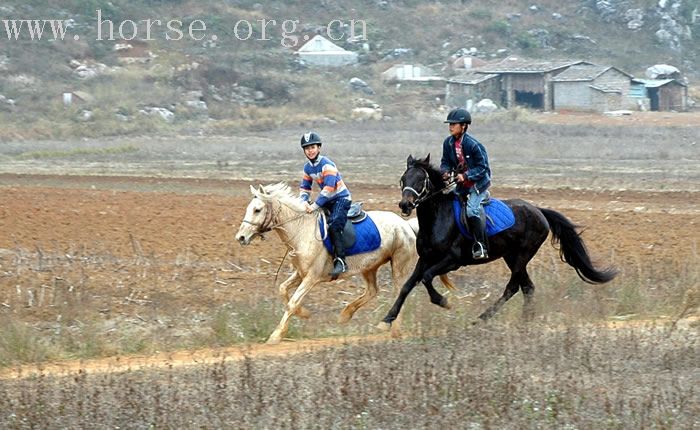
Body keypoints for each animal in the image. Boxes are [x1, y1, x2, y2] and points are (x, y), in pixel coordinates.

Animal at [237, 183, 454, 344]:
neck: (301, 229)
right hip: (369, 267)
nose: (240, 237)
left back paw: (394, 330)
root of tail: (406, 225)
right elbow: (283, 290)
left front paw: (275, 336)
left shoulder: (312, 277)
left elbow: (292, 302)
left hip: (399, 266)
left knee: (400, 292)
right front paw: (305, 314)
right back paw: (345, 314)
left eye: (257, 209)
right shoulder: (300, 273)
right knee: (372, 291)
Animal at [380, 155, 616, 330]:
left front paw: (444, 302)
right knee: (527, 287)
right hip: (511, 256)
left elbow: (427, 278)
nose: (405, 205)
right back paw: (524, 320)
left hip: (522, 256)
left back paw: (483, 318)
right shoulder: (425, 259)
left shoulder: (452, 261)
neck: (438, 219)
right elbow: (408, 285)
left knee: (513, 287)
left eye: (421, 180)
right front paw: (387, 318)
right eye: (403, 179)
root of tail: (539, 211)